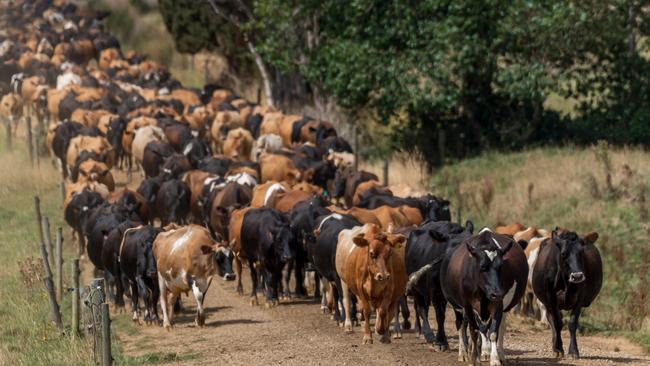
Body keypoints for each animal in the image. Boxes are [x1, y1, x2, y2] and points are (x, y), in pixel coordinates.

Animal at [440, 229, 528, 366]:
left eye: (500, 266)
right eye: (482, 267)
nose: (496, 293)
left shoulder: (498, 304)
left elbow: (493, 332)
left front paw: (495, 359)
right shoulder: (468, 305)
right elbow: (474, 331)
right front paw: (474, 359)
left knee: (500, 327)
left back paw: (498, 354)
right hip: (457, 306)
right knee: (461, 325)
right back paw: (463, 353)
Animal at [528, 229, 600, 360]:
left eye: (581, 252)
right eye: (563, 254)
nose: (577, 276)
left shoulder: (580, 299)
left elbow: (572, 323)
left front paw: (573, 351)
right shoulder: (551, 298)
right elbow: (557, 323)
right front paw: (558, 348)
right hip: (546, 301)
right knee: (551, 320)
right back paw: (555, 345)